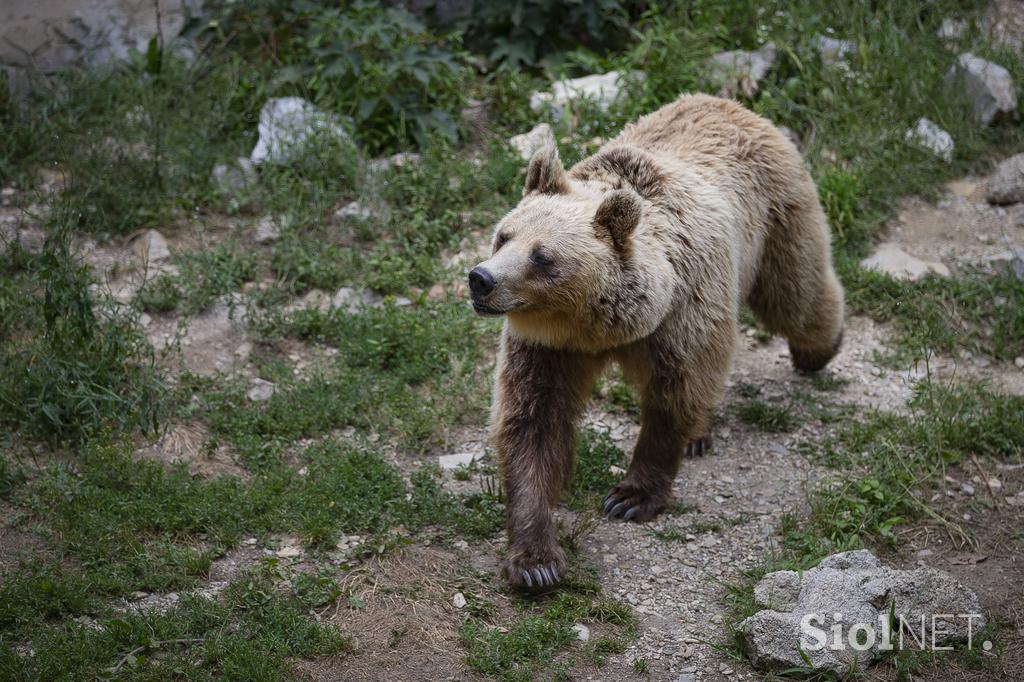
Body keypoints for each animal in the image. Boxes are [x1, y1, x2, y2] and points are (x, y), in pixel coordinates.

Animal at [468, 91, 843, 589]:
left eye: (542, 256)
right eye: (504, 236)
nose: (481, 279)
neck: (600, 326)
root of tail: (726, 102)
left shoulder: (683, 313)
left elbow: (675, 395)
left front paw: (631, 496)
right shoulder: (547, 349)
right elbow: (532, 422)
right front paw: (535, 561)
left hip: (777, 216)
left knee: (795, 293)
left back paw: (819, 349)